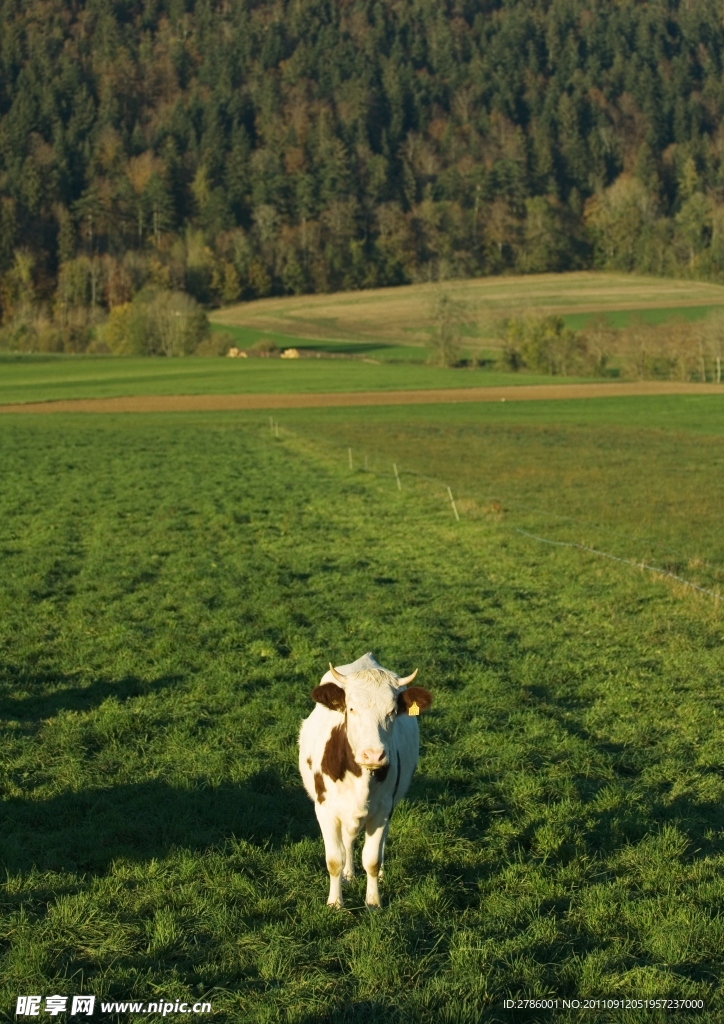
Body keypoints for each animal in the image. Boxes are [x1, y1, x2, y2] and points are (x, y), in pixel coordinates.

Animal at [299, 651, 434, 909]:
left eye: (392, 711)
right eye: (351, 709)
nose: (373, 755)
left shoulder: (383, 810)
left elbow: (371, 860)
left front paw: (373, 902)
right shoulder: (325, 809)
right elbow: (334, 859)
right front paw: (335, 902)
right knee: (347, 841)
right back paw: (349, 875)